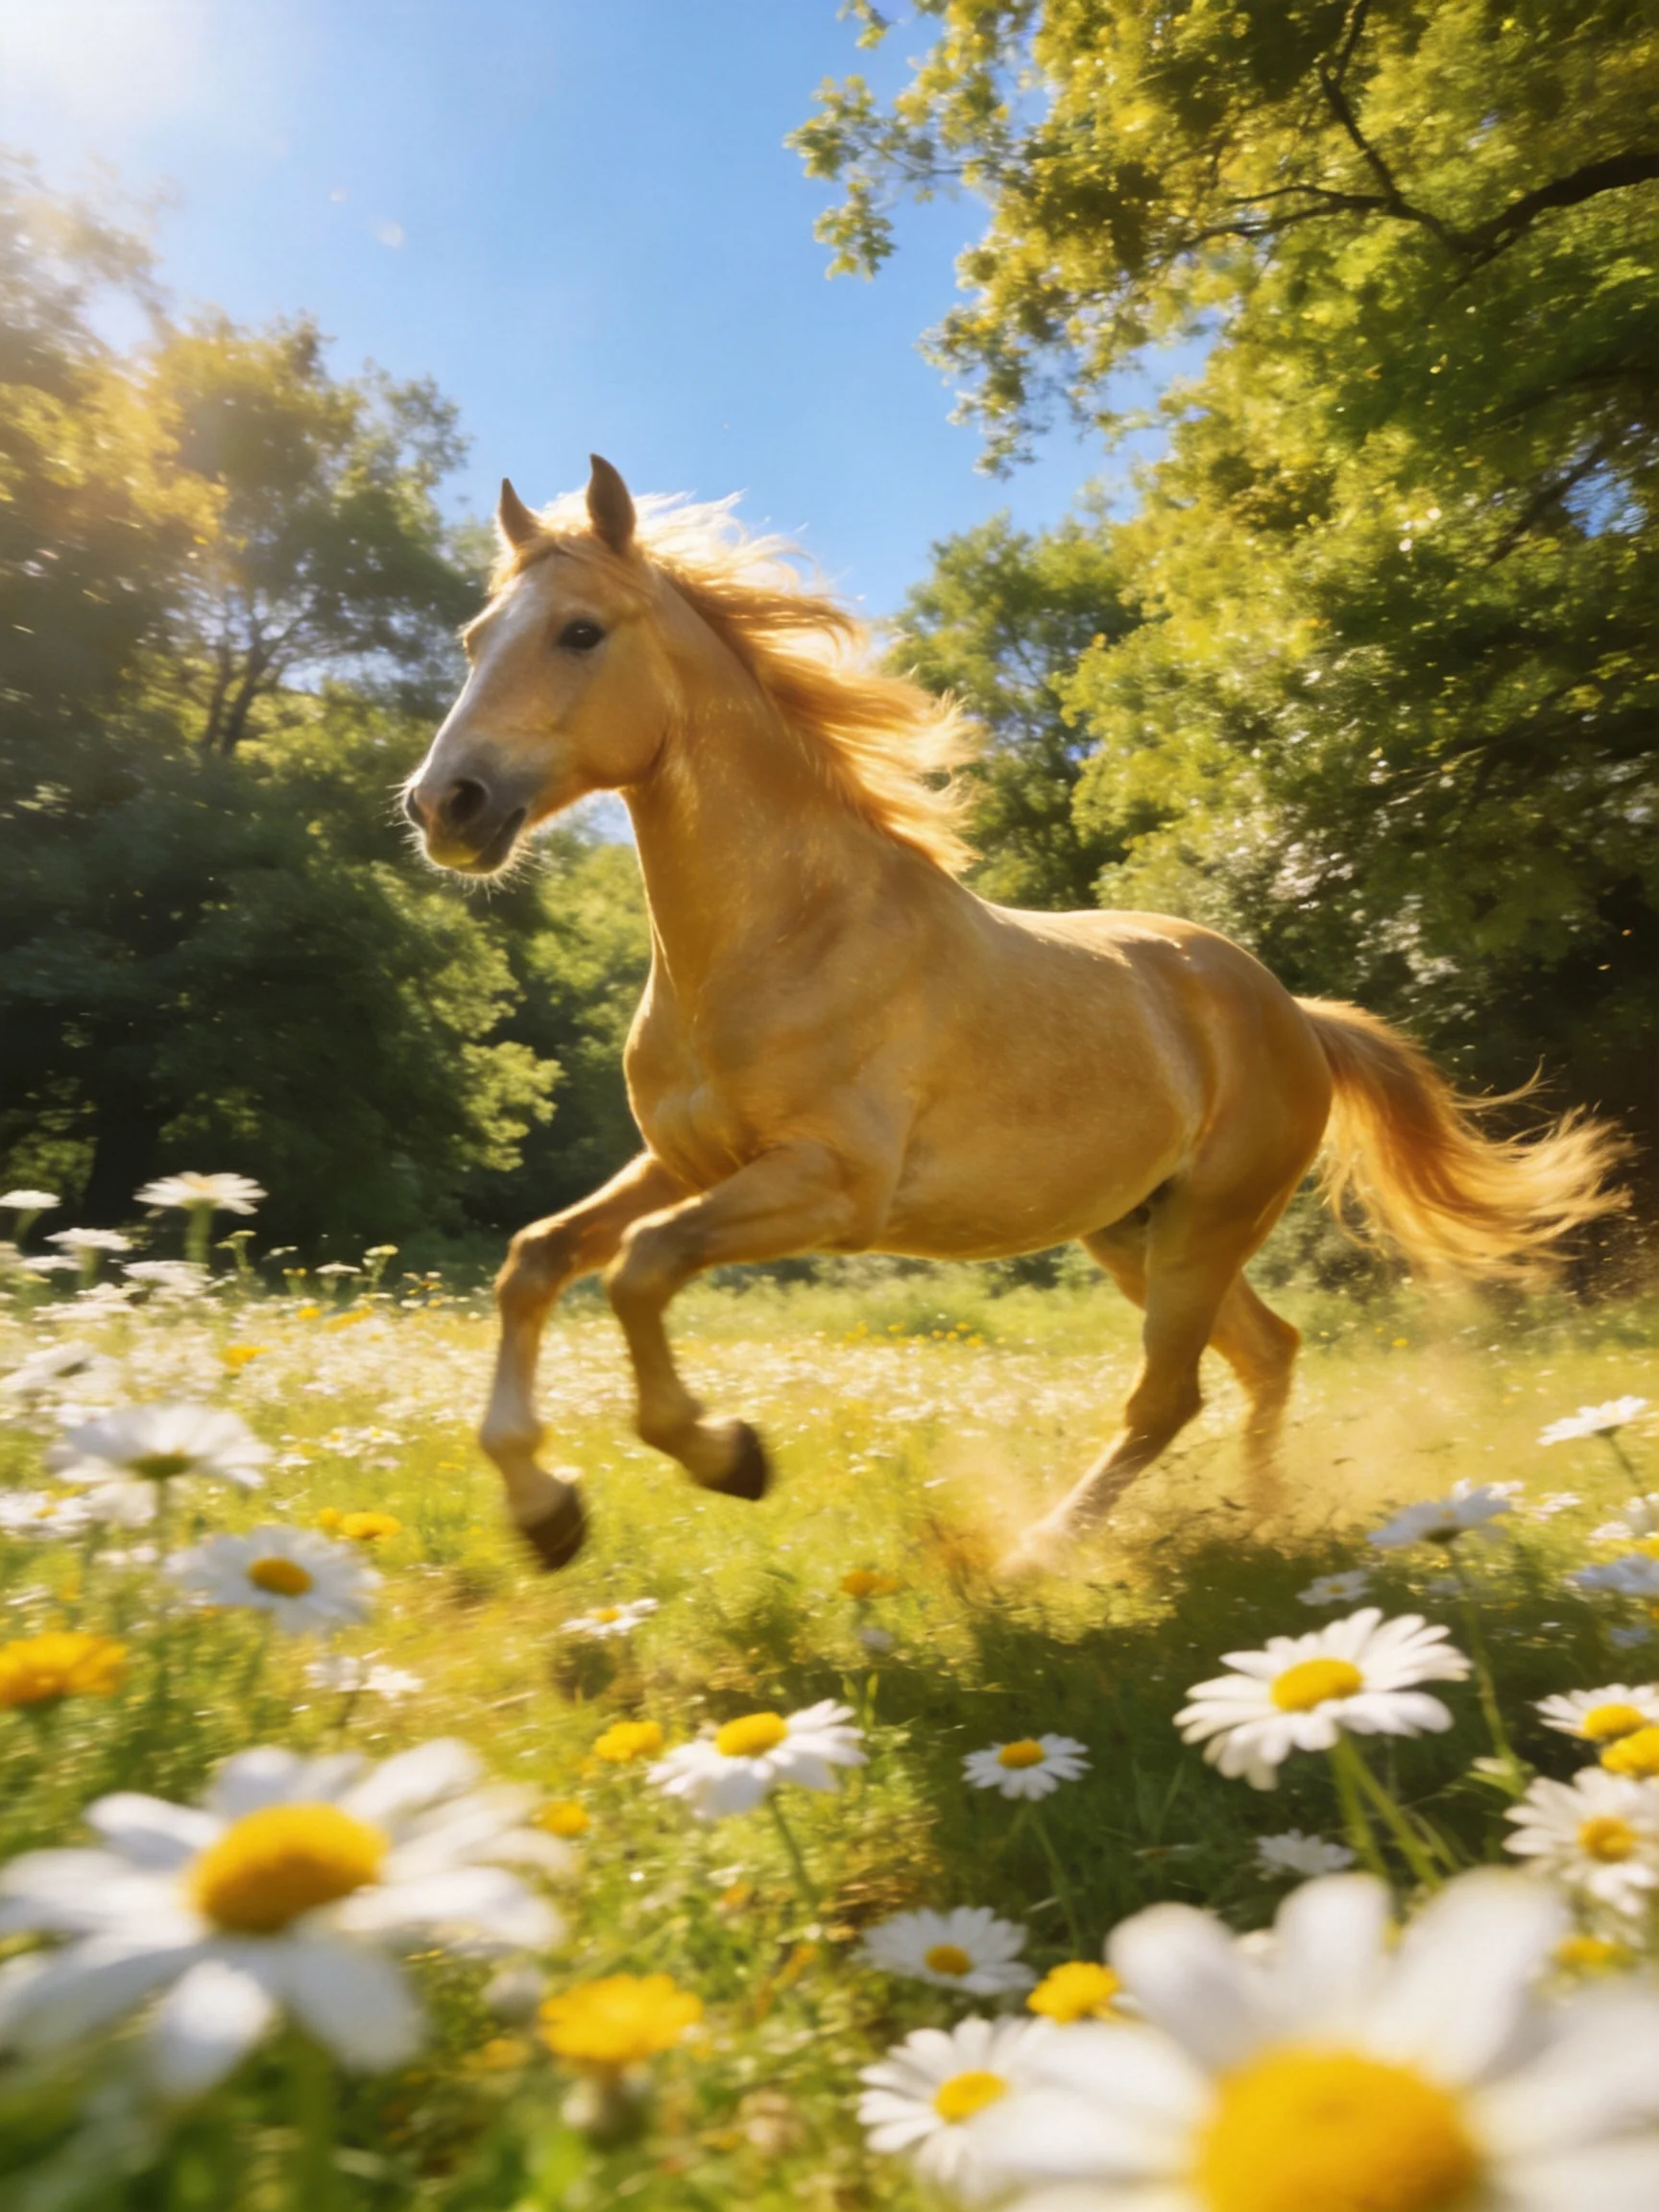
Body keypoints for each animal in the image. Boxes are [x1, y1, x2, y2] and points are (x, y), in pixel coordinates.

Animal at [402, 457, 1621, 1572]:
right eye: (474, 638)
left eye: (579, 632)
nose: (443, 804)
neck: (784, 936)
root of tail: (1294, 1014)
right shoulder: (689, 1161)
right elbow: (536, 1259)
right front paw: (545, 1510)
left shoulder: (830, 1185)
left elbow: (641, 1265)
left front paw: (726, 1455)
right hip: (1134, 1229)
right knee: (1264, 1354)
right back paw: (1264, 1523)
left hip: (1206, 1226)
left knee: (1169, 1394)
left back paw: (1040, 1554)